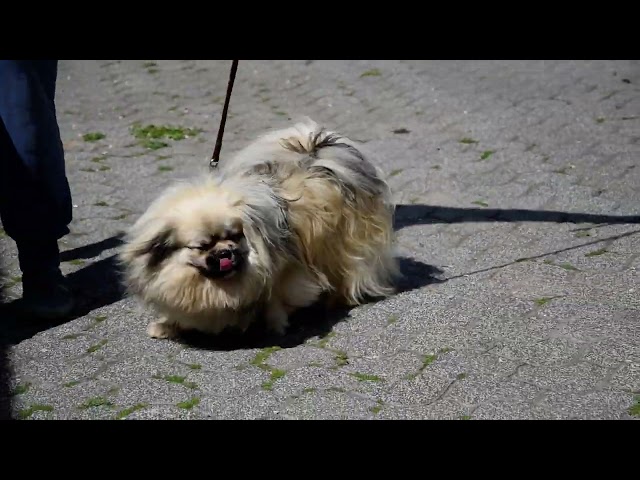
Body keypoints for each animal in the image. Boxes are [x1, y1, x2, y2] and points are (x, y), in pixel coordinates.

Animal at [119, 118, 398, 340]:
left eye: (234, 236)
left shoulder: (285, 272)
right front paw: (167, 326)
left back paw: (338, 299)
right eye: (203, 246)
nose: (225, 252)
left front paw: (274, 325)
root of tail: (320, 157)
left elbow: (276, 299)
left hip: (344, 245)